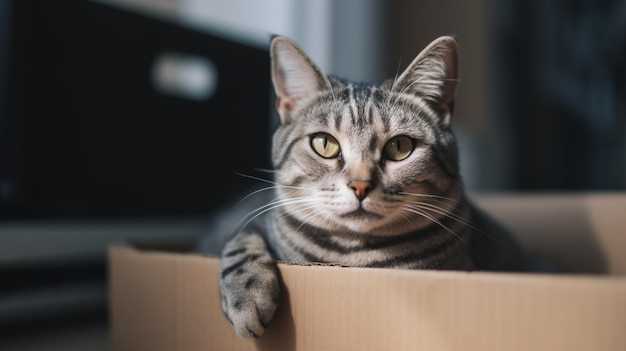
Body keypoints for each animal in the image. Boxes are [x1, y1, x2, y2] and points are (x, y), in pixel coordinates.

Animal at [197, 34, 524, 340]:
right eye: (324, 144)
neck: (351, 258)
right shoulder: (251, 225)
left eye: (400, 147)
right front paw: (247, 296)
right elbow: (241, 240)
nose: (360, 185)